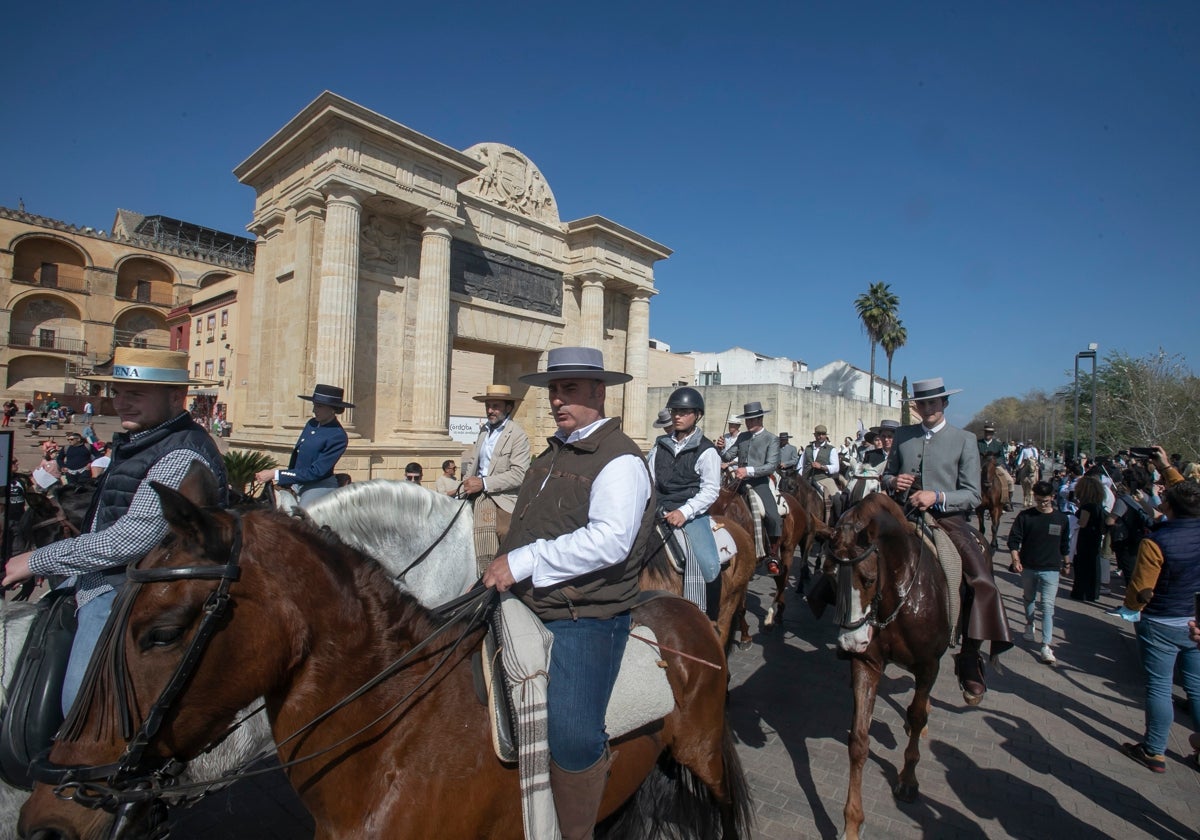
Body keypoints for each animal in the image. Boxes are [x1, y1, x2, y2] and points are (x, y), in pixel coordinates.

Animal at [820, 492, 950, 840]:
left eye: (867, 578)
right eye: (830, 576)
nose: (849, 643)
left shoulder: (929, 665)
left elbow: (916, 716)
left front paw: (907, 779)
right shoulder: (867, 663)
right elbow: (858, 741)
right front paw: (852, 823)